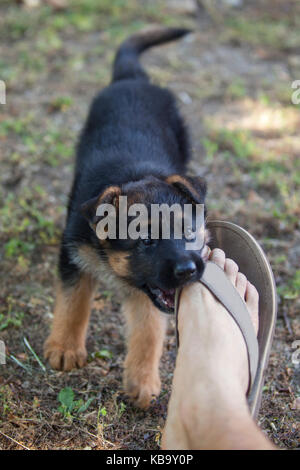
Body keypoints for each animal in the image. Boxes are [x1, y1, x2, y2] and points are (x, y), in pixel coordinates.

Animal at [44, 26, 207, 408]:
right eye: (145, 241)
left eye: (187, 231)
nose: (188, 270)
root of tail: (133, 78)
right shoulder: (72, 254)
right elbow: (73, 302)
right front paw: (65, 347)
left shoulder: (151, 294)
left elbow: (149, 330)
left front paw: (142, 381)